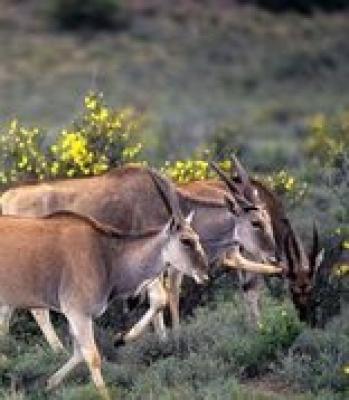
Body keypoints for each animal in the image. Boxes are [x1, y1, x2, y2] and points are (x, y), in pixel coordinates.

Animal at [0, 162, 280, 346]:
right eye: (256, 222)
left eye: (268, 219)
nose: (274, 257)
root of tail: (6, 198)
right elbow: (160, 299)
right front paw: (128, 338)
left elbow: (166, 297)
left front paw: (168, 338)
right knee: (35, 310)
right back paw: (55, 350)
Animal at [0, 168, 208, 396]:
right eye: (186, 240)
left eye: (197, 237)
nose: (204, 272)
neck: (105, 253)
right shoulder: (78, 314)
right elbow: (92, 357)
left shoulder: (77, 316)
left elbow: (79, 353)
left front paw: (50, 382)